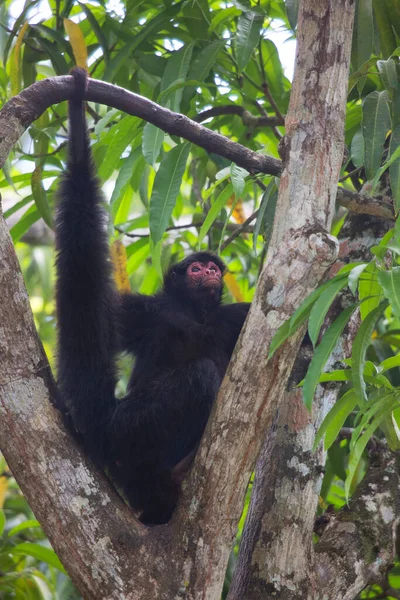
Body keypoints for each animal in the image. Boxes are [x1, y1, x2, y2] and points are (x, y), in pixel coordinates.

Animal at [55, 68, 250, 524]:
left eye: (214, 270)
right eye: (196, 269)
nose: (209, 272)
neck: (195, 315)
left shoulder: (231, 317)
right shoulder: (146, 312)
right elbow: (85, 303)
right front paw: (77, 113)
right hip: (130, 430)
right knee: (200, 376)